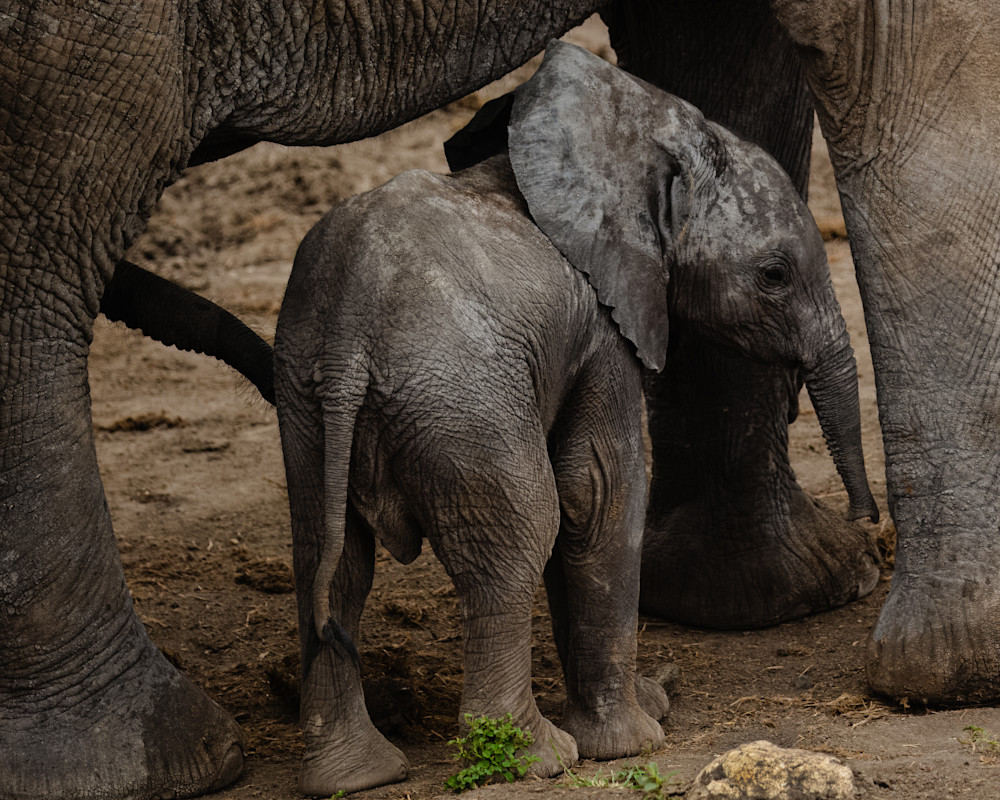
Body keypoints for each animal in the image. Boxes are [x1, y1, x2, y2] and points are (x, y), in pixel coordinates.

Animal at [273, 41, 878, 795]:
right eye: (774, 275)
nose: (867, 520)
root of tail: (350, 336)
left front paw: (649, 704)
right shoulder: (604, 326)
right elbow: (597, 494)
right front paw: (632, 742)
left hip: (306, 399)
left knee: (328, 560)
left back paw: (354, 775)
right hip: (463, 400)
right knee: (519, 534)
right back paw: (535, 758)